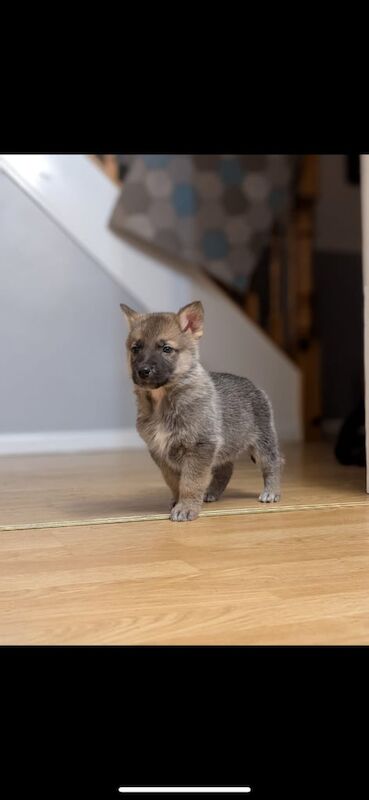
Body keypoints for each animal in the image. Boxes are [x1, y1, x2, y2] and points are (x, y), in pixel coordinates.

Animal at [121, 298, 282, 520]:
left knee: (272, 463)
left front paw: (186, 507)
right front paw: (178, 502)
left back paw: (271, 491)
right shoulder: (161, 452)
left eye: (166, 349)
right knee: (225, 469)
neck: (163, 402)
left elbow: (191, 481)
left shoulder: (200, 447)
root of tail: (255, 386)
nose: (143, 371)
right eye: (136, 348)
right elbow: (174, 481)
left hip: (262, 442)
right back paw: (212, 492)